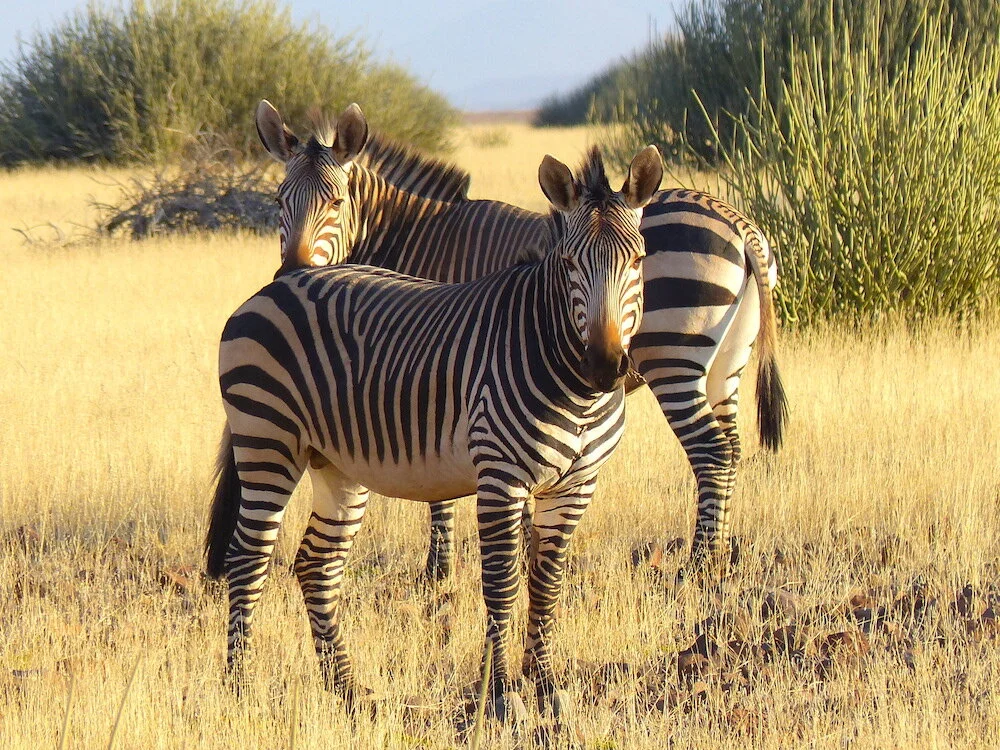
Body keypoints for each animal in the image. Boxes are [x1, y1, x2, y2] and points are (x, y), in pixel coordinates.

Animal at [205, 145, 663, 720]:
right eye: (569, 263)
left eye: (639, 261)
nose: (605, 367)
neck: (572, 383)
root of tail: (276, 285)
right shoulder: (501, 477)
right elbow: (502, 584)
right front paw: (501, 696)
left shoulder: (577, 484)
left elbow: (547, 583)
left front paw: (547, 688)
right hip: (268, 440)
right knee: (248, 558)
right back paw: (238, 686)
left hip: (337, 462)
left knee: (316, 564)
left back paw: (347, 689)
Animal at [255, 100, 788, 580]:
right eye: (279, 202)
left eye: (335, 202)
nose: (293, 274)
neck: (412, 236)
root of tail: (739, 224)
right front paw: (522, 543)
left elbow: (442, 493)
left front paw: (438, 570)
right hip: (726, 364)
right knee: (732, 449)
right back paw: (722, 554)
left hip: (674, 359)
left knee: (710, 452)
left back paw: (698, 564)